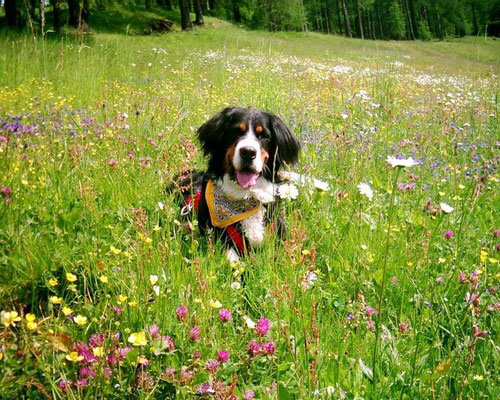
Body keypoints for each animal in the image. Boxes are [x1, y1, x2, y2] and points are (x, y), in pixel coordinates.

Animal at [175, 107, 300, 262]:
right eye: (236, 131)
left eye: (263, 135)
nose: (248, 152)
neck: (246, 197)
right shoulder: (218, 235)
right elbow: (232, 260)